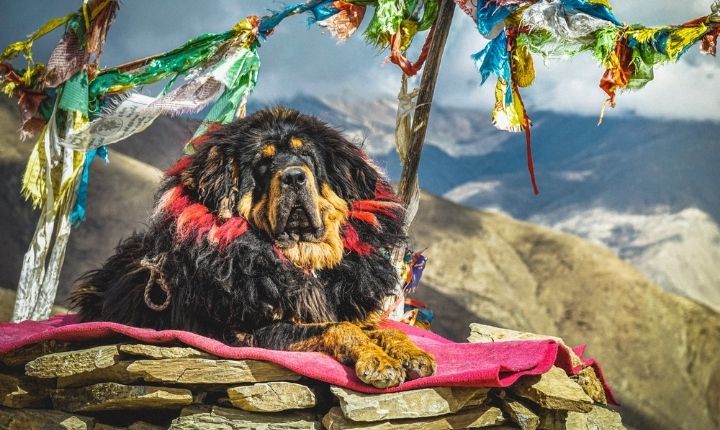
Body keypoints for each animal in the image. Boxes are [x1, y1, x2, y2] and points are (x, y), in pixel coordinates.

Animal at [70, 107, 436, 390]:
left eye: (306, 156)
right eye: (263, 163)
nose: (294, 176)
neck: (301, 261)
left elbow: (381, 329)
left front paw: (411, 352)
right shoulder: (251, 333)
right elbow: (340, 329)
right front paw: (378, 362)